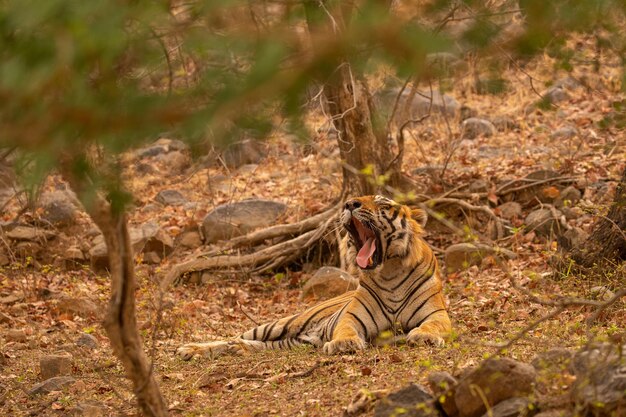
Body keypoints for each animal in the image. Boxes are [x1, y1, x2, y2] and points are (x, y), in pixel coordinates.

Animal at [176, 193, 448, 360]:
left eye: (382, 205)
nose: (350, 204)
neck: (389, 272)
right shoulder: (351, 317)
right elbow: (345, 329)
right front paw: (343, 344)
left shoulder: (438, 314)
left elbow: (432, 324)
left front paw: (424, 336)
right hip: (281, 324)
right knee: (233, 336)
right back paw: (189, 349)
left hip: (291, 341)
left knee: (253, 344)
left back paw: (238, 350)